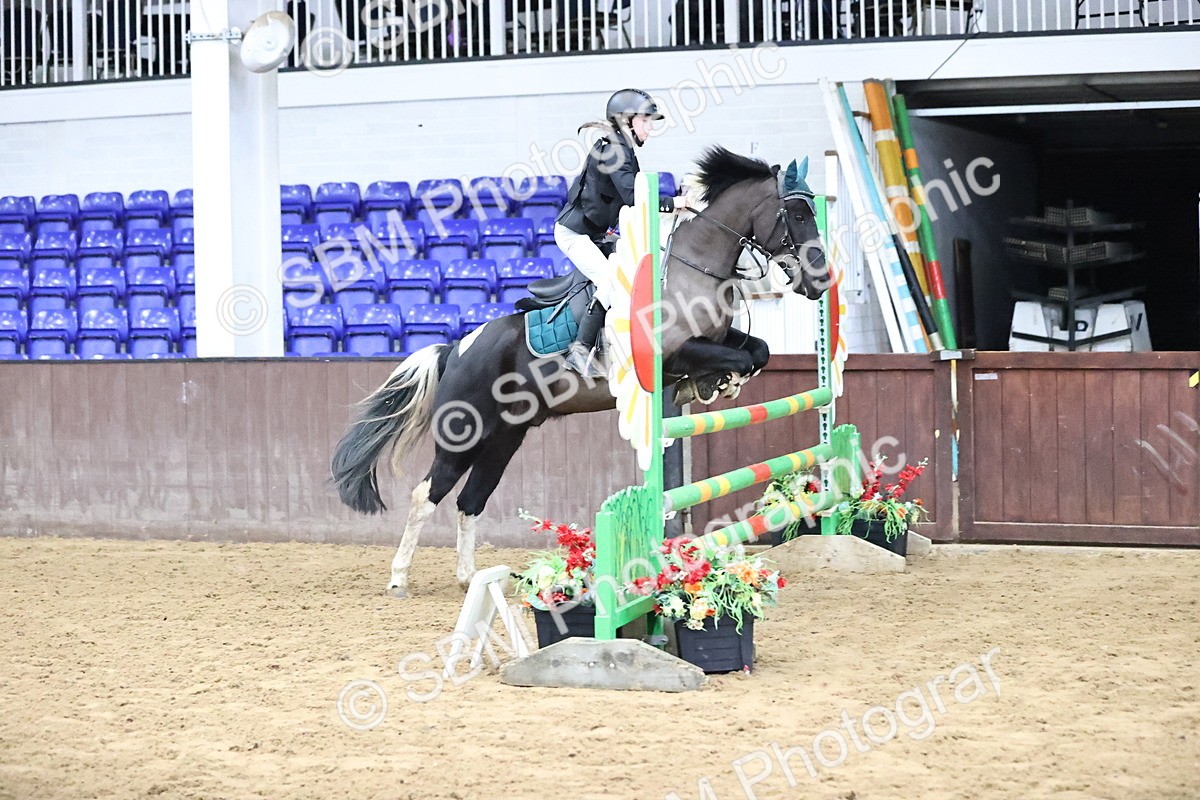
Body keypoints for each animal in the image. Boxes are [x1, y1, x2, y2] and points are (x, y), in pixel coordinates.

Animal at [331, 146, 829, 596]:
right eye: (797, 213)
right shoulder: (674, 354)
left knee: (471, 500)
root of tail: (456, 349)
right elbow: (740, 359)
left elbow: (758, 351)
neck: (695, 268)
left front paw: (713, 385)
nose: (820, 280)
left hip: (504, 438)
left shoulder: (716, 340)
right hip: (463, 437)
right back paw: (399, 579)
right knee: (426, 495)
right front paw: (714, 384)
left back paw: (470, 578)